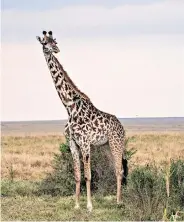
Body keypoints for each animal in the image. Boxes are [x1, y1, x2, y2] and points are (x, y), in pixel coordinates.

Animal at [36, 30, 128, 212]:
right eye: (44, 43)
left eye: (54, 41)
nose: (55, 49)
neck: (69, 107)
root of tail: (121, 126)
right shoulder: (72, 142)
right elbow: (77, 175)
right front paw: (77, 205)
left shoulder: (85, 143)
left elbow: (88, 175)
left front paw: (89, 206)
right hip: (106, 146)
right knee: (115, 169)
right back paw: (116, 199)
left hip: (116, 143)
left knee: (119, 170)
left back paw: (119, 201)